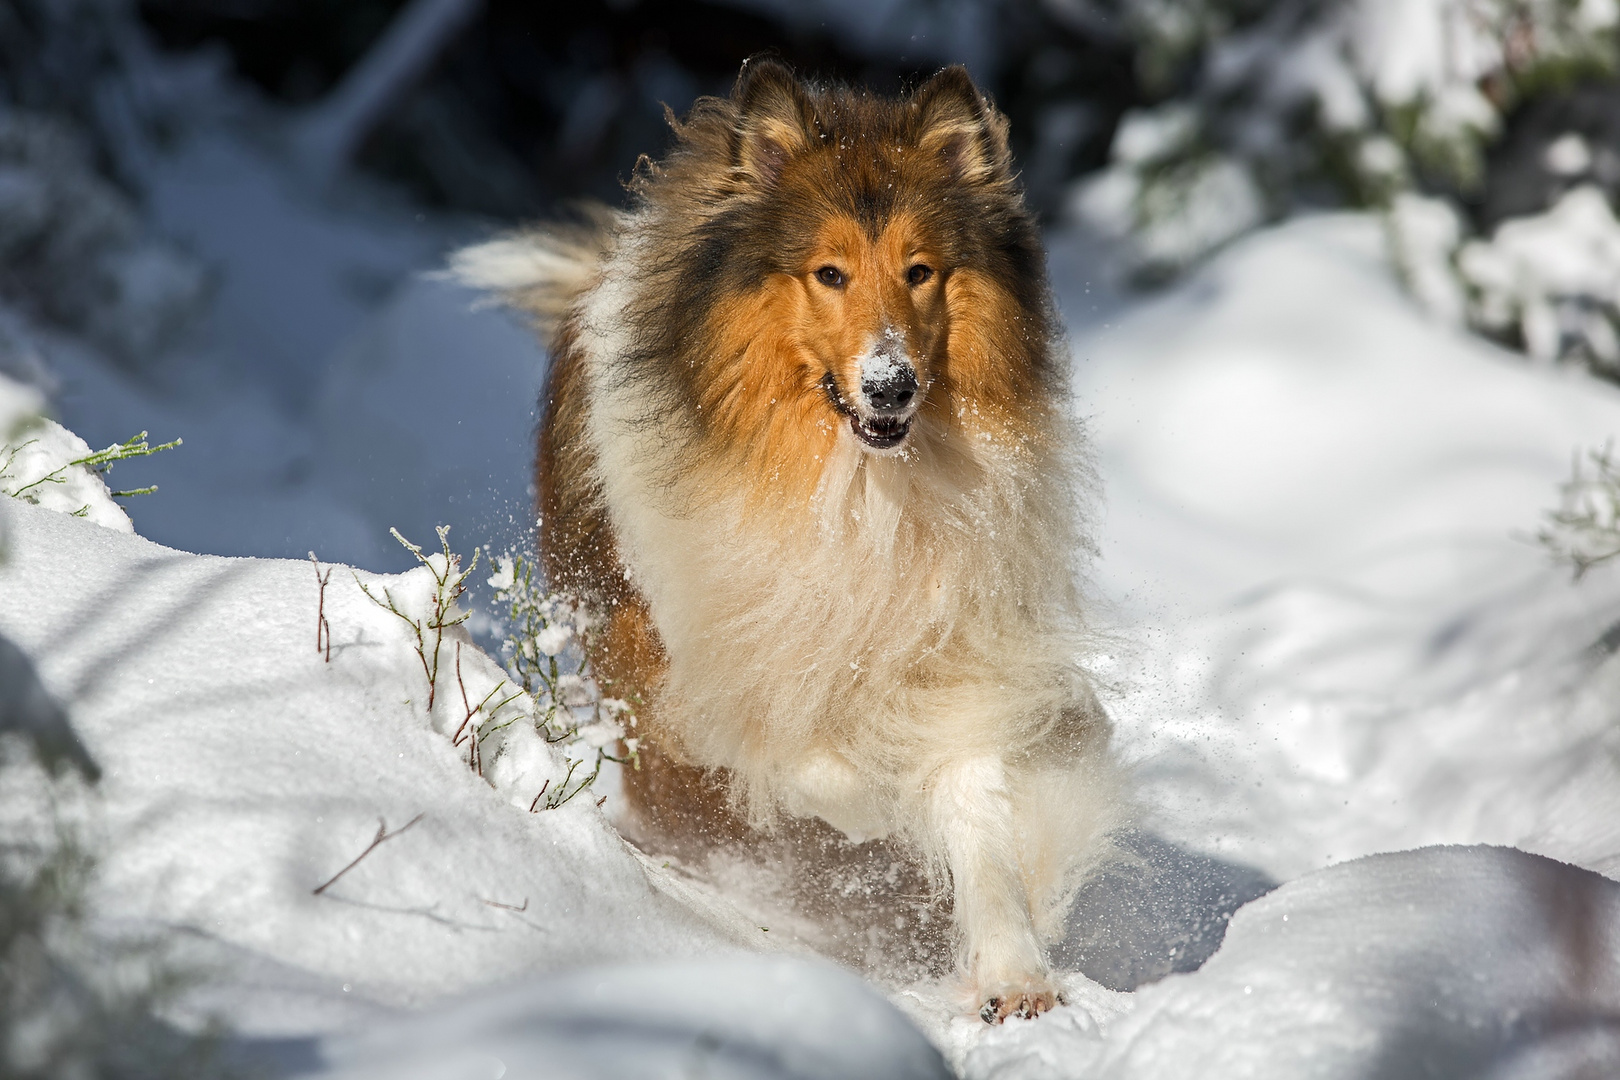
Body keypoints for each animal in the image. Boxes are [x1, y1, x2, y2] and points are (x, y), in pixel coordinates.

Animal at [450, 59, 1121, 1023]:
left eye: (921, 270)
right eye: (829, 273)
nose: (891, 386)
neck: (858, 492)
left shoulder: (949, 651)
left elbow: (976, 807)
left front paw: (1012, 974)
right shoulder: (701, 663)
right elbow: (809, 764)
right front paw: (878, 818)